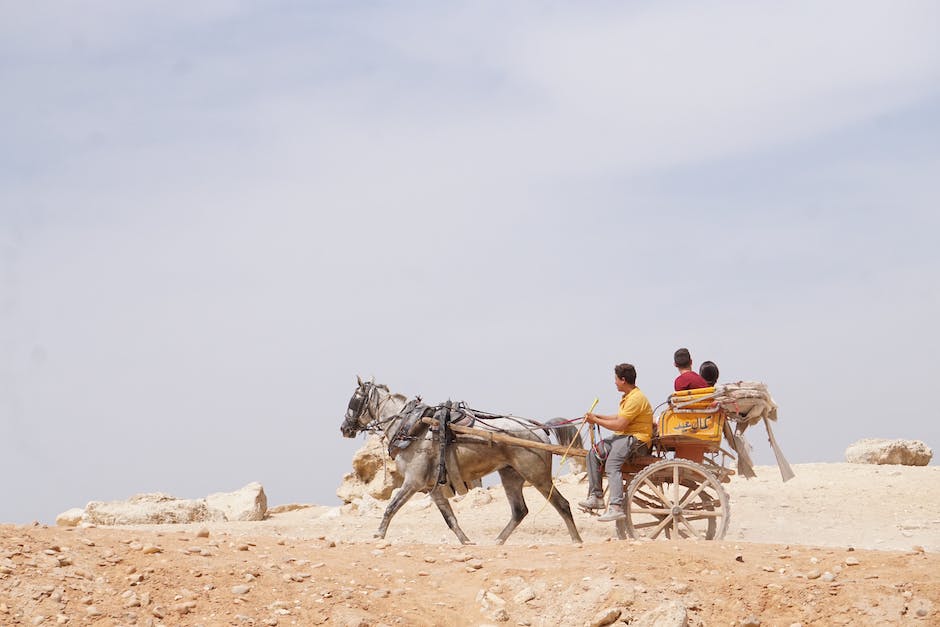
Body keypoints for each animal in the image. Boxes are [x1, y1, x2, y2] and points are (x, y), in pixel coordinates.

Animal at [342, 378, 584, 544]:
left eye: (353, 400)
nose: (344, 428)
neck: (412, 427)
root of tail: (540, 429)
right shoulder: (432, 488)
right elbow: (450, 518)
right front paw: (466, 541)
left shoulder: (413, 482)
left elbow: (391, 507)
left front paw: (378, 534)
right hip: (510, 474)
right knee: (519, 511)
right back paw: (498, 542)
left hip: (536, 474)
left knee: (562, 504)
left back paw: (576, 541)